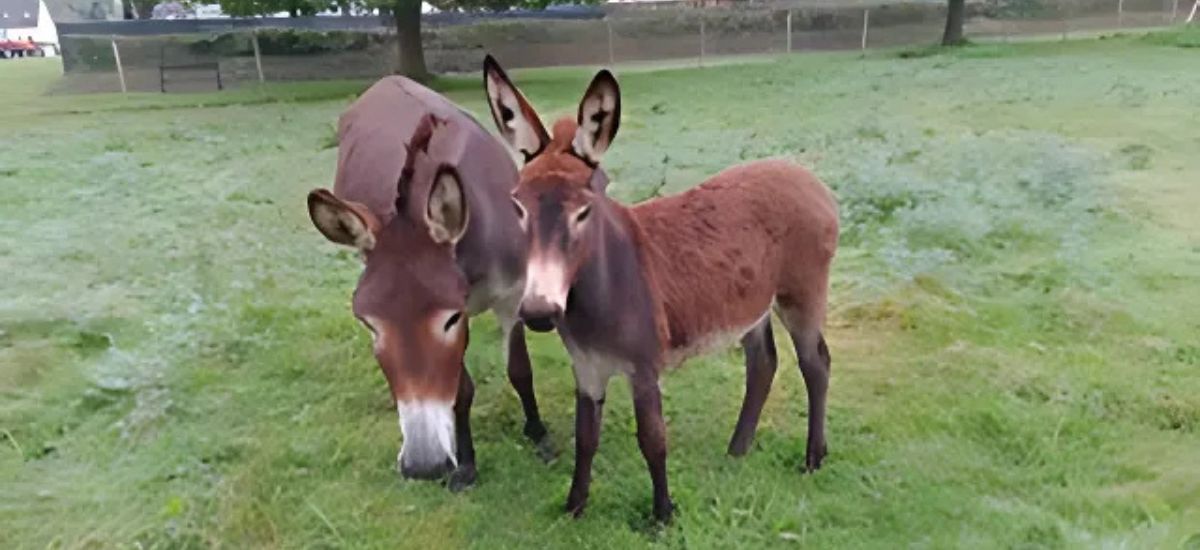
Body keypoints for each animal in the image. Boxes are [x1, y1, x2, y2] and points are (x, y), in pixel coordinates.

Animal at [309, 76, 552, 489]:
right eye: (369, 324)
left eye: (450, 319)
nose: (422, 466)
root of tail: (385, 81)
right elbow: (460, 391)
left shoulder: (511, 294)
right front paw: (466, 464)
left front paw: (539, 435)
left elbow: (520, 369)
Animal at [482, 57, 840, 523]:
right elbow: (585, 438)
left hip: (801, 293)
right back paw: (737, 450)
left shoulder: (644, 367)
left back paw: (813, 458)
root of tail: (808, 177)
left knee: (816, 364)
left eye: (584, 212)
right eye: (517, 207)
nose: (540, 313)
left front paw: (662, 515)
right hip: (751, 304)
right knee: (763, 363)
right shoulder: (587, 368)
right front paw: (575, 507)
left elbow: (652, 439)